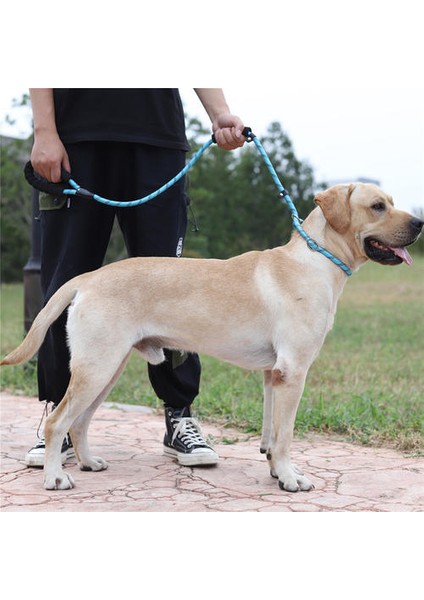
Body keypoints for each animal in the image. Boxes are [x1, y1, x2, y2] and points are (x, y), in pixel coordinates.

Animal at [1, 184, 422, 492]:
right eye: (378, 206)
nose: (419, 223)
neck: (316, 259)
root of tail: (89, 277)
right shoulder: (293, 372)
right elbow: (286, 435)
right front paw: (290, 478)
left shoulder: (274, 374)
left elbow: (272, 434)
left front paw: (275, 469)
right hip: (97, 368)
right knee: (58, 422)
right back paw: (55, 477)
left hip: (107, 369)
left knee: (80, 422)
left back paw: (89, 462)